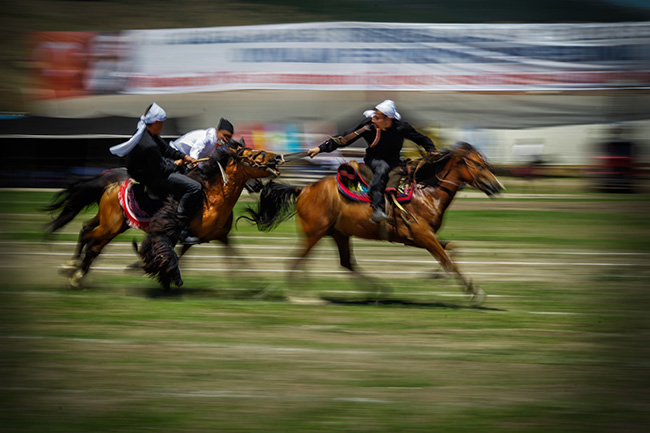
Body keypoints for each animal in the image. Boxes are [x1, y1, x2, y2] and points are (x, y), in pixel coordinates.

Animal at [46, 147, 284, 288]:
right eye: (252, 154)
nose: (277, 157)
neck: (211, 199)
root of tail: (112, 184)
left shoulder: (213, 236)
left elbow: (236, 257)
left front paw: (251, 281)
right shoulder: (182, 233)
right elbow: (173, 255)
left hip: (110, 222)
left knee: (88, 233)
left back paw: (73, 269)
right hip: (111, 226)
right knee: (93, 242)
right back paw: (74, 272)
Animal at [243, 142, 502, 304]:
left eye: (486, 163)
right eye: (478, 165)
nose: (497, 186)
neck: (426, 191)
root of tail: (303, 188)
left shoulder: (422, 237)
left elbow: (450, 251)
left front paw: (434, 275)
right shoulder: (423, 235)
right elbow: (449, 260)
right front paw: (475, 292)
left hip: (338, 233)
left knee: (345, 263)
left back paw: (378, 290)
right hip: (314, 233)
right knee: (295, 261)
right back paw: (299, 296)